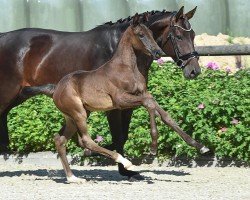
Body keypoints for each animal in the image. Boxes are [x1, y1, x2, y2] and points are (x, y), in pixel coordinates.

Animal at [24, 14, 209, 183]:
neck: (126, 67)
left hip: (73, 117)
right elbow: (148, 105)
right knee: (86, 141)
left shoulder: (142, 94)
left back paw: (73, 177)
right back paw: (124, 161)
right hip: (79, 114)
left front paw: (200, 146)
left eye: (151, 33)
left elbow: (163, 114)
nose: (158, 52)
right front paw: (152, 148)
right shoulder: (120, 101)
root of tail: (55, 88)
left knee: (60, 139)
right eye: (140, 34)